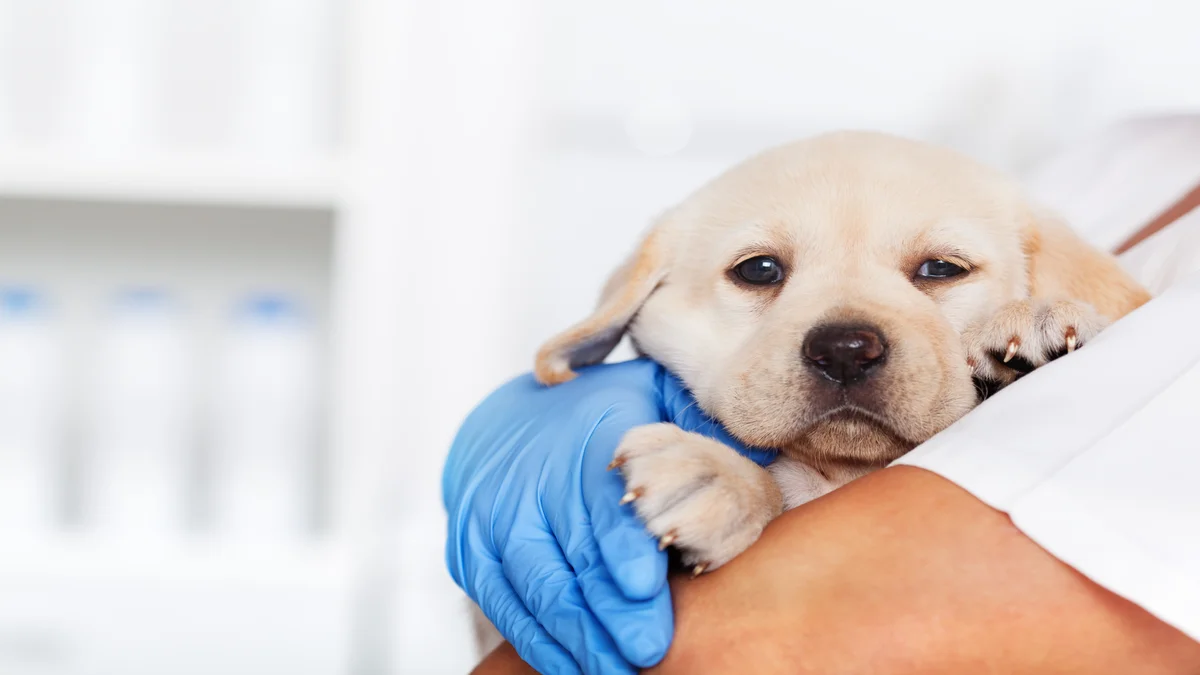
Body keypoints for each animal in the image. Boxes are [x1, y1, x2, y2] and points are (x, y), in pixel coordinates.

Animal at [537, 130, 1152, 571]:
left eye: (941, 269)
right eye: (759, 270)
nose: (845, 351)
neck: (841, 468)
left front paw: (1035, 327)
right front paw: (722, 477)